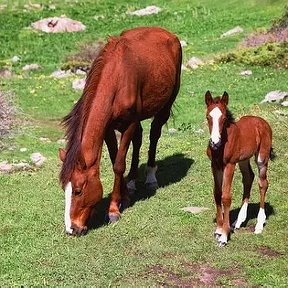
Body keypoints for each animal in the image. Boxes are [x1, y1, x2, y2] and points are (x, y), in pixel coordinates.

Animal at [58, 25, 182, 235]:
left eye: (78, 190)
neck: (116, 78)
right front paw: (124, 196)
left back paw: (150, 177)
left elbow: (118, 165)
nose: (71, 229)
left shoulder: (129, 123)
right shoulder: (108, 128)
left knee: (154, 134)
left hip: (165, 106)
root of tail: (167, 33)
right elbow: (115, 156)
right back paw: (131, 181)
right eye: (63, 189)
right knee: (139, 139)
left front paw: (114, 210)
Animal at [205, 91, 272, 246]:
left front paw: (224, 236)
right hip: (243, 160)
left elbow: (225, 197)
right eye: (208, 117)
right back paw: (238, 221)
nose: (214, 142)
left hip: (262, 157)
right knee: (248, 178)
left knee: (263, 183)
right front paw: (219, 229)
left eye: (223, 118)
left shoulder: (230, 164)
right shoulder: (215, 165)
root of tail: (262, 122)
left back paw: (259, 224)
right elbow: (217, 194)